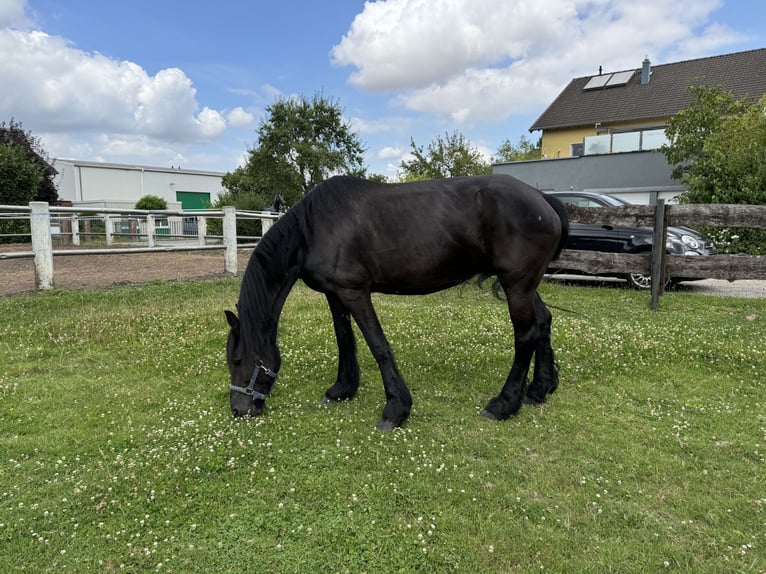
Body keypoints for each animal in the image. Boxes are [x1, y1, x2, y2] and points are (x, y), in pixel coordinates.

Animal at [225, 176, 568, 432]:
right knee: (543, 322)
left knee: (525, 336)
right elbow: (344, 339)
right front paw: (342, 389)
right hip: (524, 285)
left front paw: (395, 409)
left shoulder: (354, 292)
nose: (239, 410)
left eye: (238, 360)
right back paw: (539, 389)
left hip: (516, 285)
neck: (311, 229)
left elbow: (377, 344)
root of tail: (543, 201)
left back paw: (503, 404)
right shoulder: (335, 293)